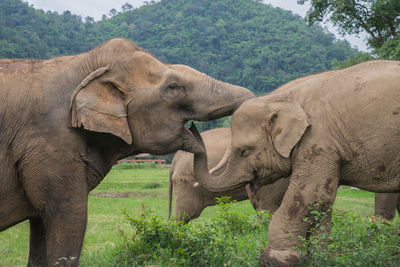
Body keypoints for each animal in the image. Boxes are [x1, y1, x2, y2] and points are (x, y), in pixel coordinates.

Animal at [191, 60, 400, 267]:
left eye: (243, 151)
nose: (191, 126)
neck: (282, 98)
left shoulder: (319, 141)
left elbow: (311, 195)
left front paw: (273, 259)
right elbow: (323, 200)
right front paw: (317, 258)